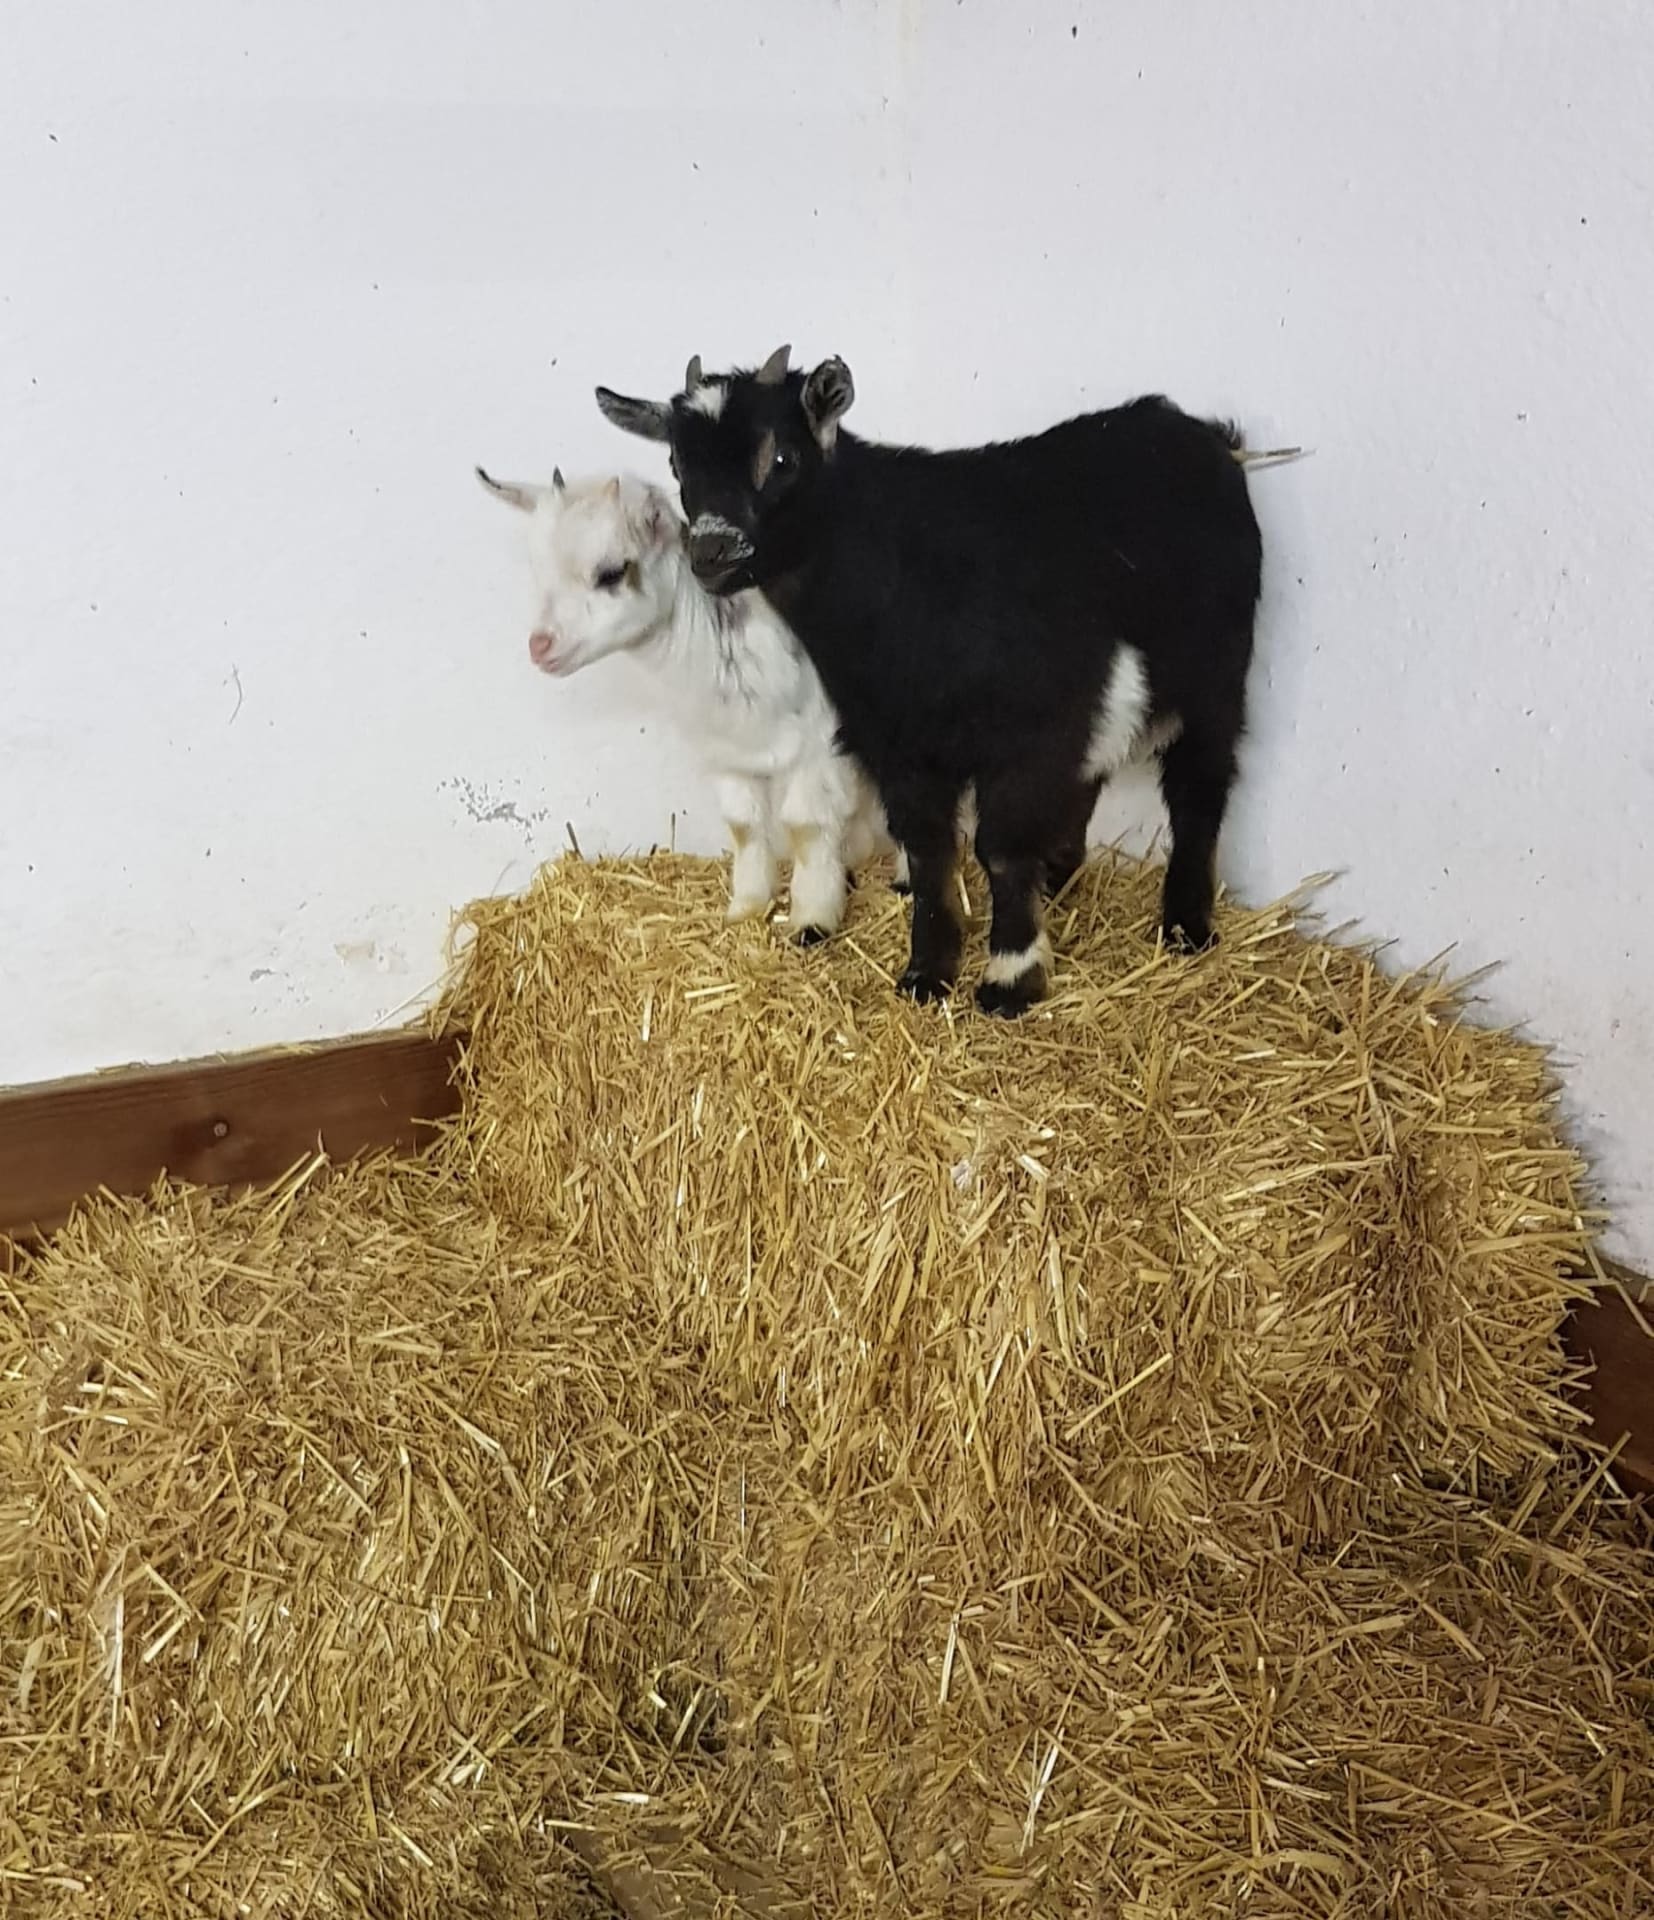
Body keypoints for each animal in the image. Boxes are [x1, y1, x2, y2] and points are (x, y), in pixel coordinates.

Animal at [475, 461, 893, 940]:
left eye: (611, 572)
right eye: (538, 570)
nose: (540, 646)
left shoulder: (819, 746)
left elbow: (806, 826)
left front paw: (812, 920)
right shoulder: (729, 755)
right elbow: (745, 827)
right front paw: (746, 908)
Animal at [595, 345, 1268, 1016]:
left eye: (781, 458)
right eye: (678, 464)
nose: (712, 552)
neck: (902, 576)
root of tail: (1208, 436)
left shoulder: (1028, 731)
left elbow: (1000, 847)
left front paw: (1010, 976)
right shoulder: (902, 743)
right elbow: (927, 850)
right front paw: (927, 970)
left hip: (1216, 675)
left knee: (1198, 787)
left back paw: (1185, 925)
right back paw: (1059, 878)